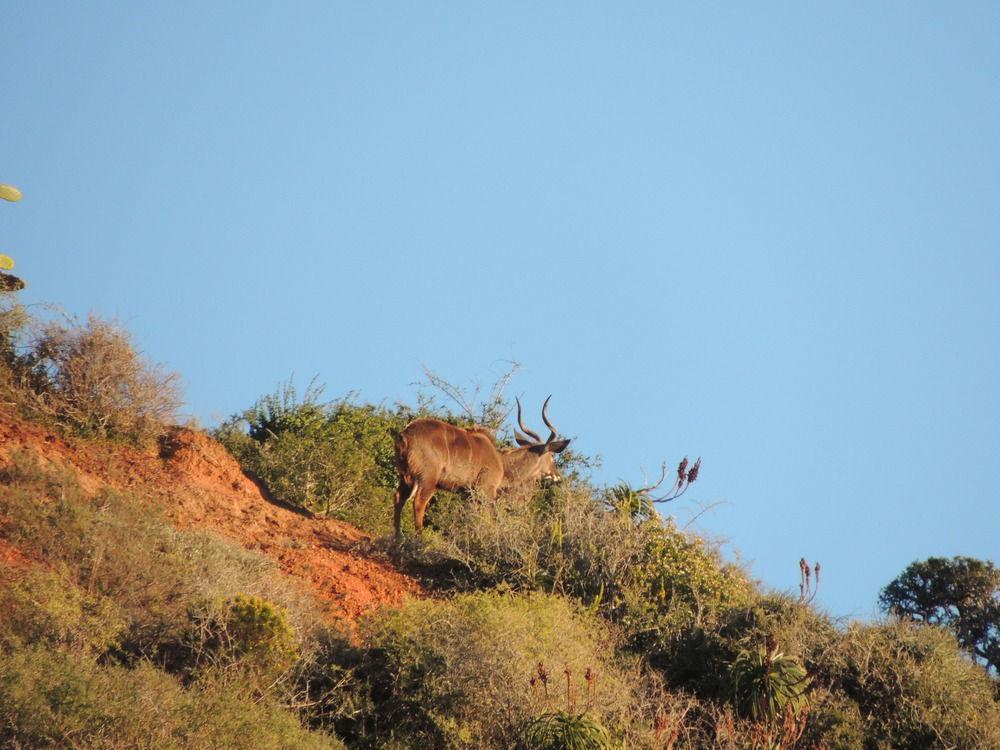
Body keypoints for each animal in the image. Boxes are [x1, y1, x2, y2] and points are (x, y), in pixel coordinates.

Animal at [396, 396, 572, 536]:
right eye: (552, 456)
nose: (557, 476)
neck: (501, 462)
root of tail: (406, 435)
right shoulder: (486, 491)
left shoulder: (469, 495)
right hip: (428, 480)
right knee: (418, 503)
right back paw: (419, 539)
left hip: (405, 478)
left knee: (398, 498)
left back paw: (398, 539)